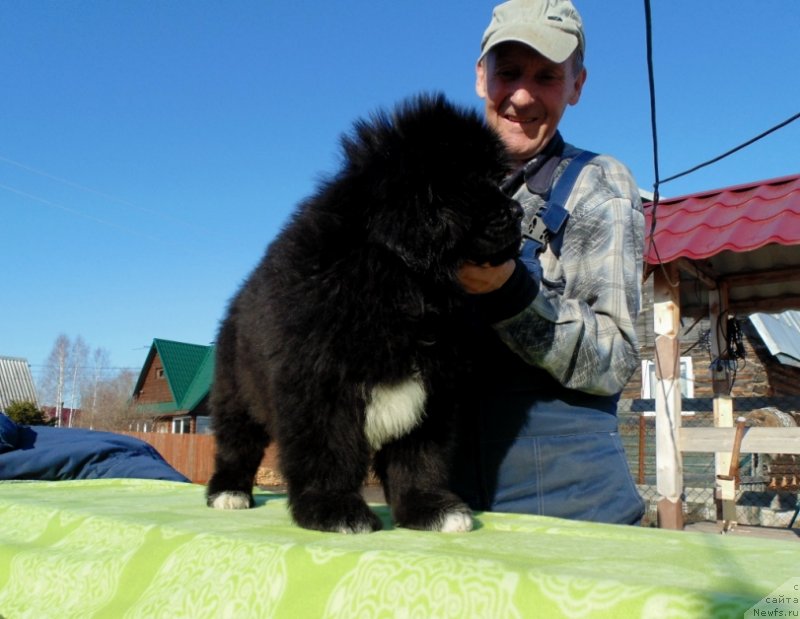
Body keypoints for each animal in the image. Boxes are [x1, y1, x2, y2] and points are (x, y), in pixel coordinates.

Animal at [206, 93, 520, 532]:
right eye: (469, 182)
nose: (518, 214)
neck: (398, 280)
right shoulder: (320, 388)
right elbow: (328, 454)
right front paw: (334, 509)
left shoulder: (432, 396)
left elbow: (419, 459)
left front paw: (429, 509)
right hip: (236, 394)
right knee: (237, 445)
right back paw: (228, 492)